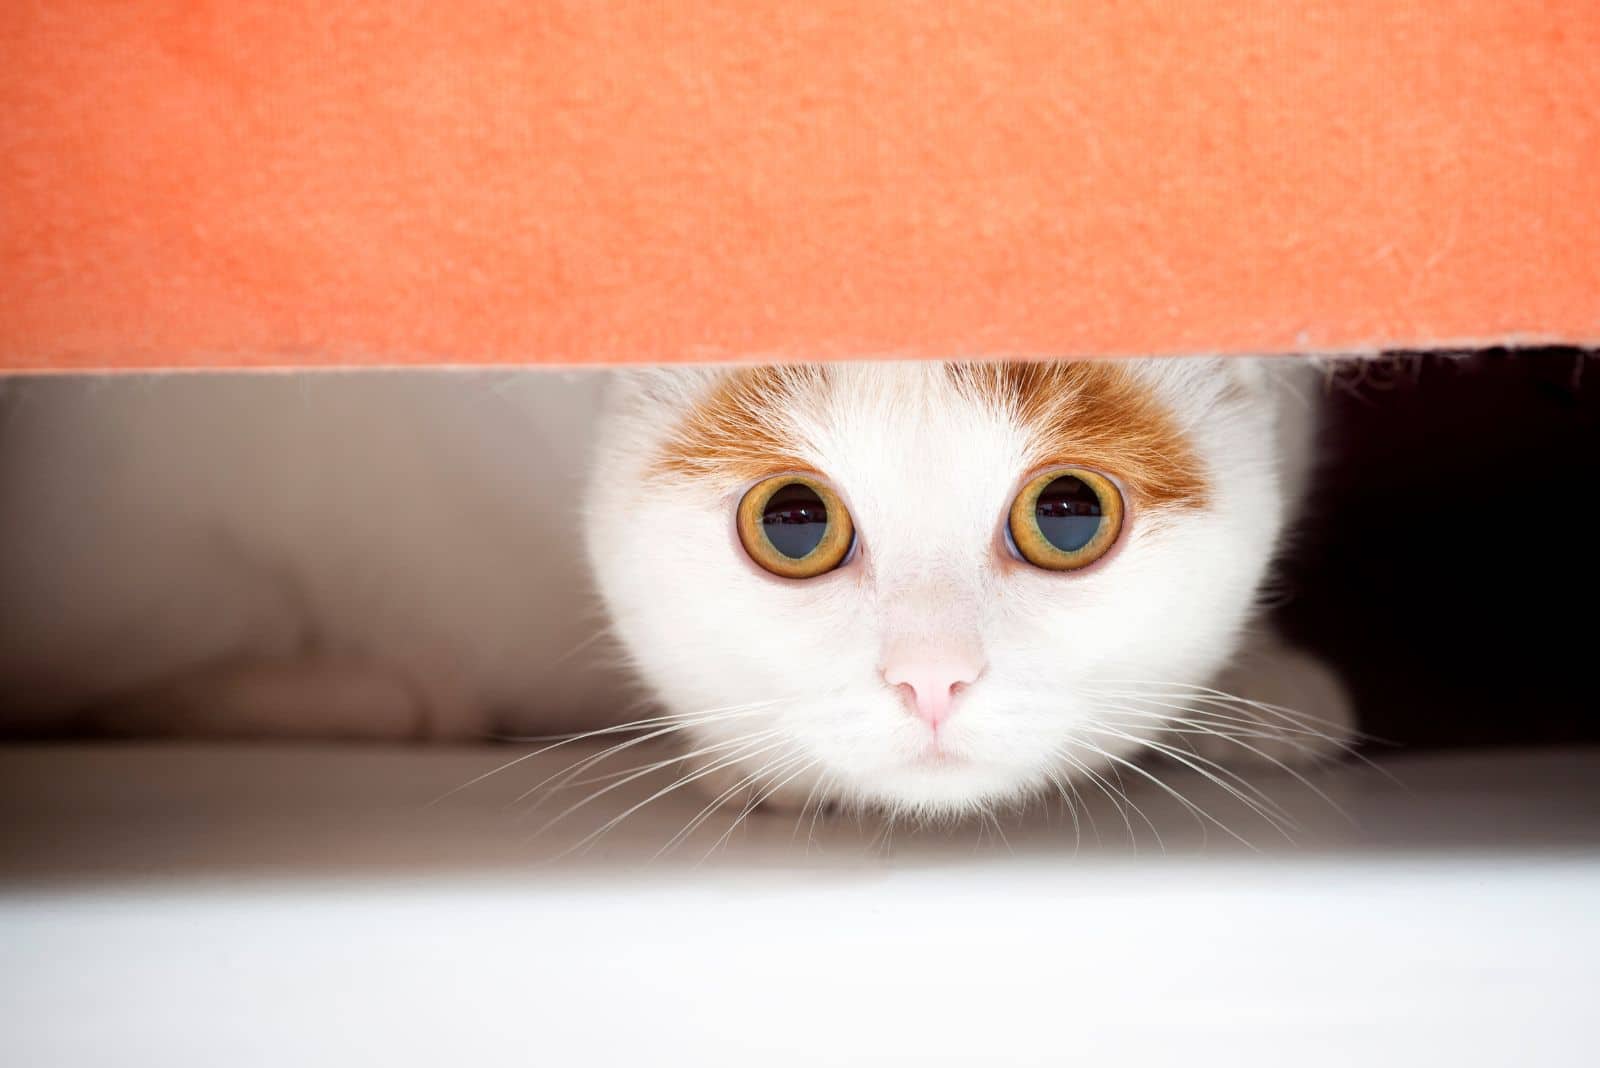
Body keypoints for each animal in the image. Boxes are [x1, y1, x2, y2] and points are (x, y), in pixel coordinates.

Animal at [0, 361, 1350, 818]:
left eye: (1067, 514)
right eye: (793, 525)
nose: (930, 679)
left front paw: (1259, 692)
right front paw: (752, 760)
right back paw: (380, 694)